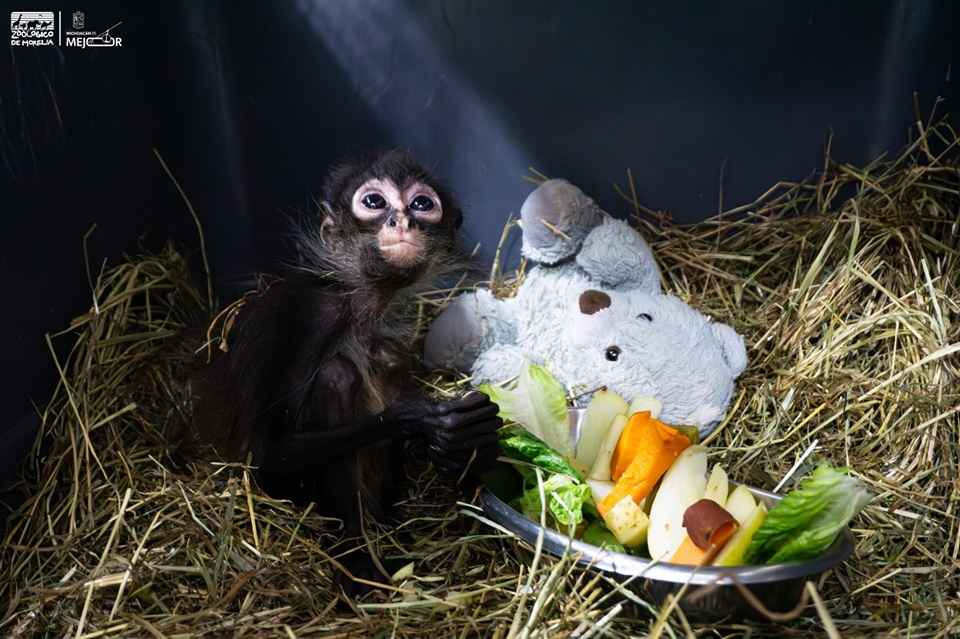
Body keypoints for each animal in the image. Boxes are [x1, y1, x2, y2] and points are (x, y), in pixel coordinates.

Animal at [190, 150, 503, 589]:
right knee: (338, 375)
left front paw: (468, 439)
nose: (402, 220)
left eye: (422, 204)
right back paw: (357, 560)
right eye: (374, 202)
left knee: (384, 361)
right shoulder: (317, 315)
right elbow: (270, 453)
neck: (356, 305)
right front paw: (421, 417)